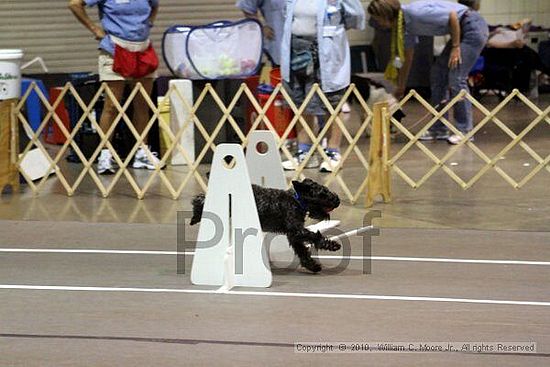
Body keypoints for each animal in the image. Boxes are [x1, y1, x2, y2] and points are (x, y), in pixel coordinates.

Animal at [192, 180, 342, 272]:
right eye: (322, 193)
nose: (337, 199)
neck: (296, 201)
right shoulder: (296, 231)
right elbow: (315, 236)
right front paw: (332, 245)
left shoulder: (294, 236)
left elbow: (302, 251)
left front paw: (312, 266)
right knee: (201, 198)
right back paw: (195, 215)